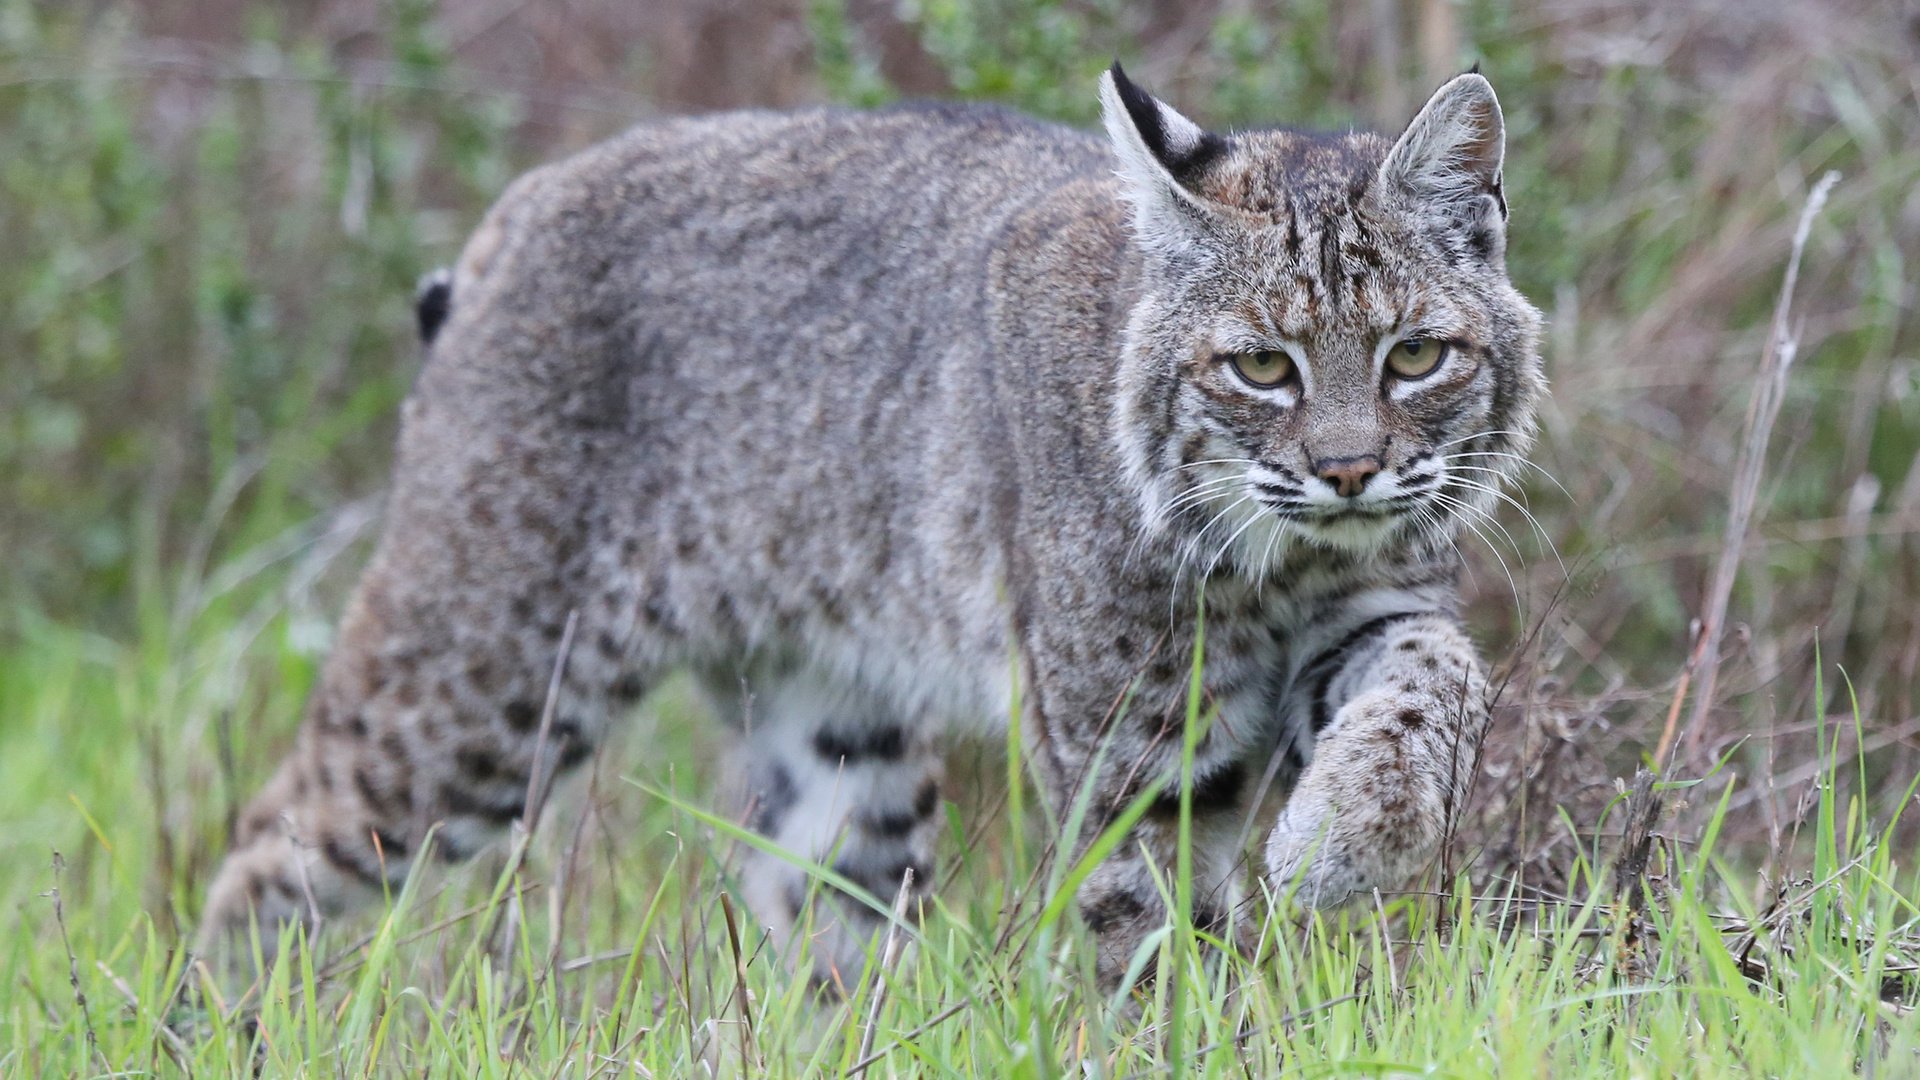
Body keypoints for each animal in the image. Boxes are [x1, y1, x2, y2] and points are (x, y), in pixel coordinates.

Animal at [194, 65, 1543, 983]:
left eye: (1415, 356)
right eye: (1262, 368)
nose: (1350, 472)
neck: (1279, 558)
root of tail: (516, 206)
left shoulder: (1368, 606)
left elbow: (1443, 684)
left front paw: (1347, 840)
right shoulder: (1127, 742)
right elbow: (1151, 929)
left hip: (833, 734)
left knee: (821, 936)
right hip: (486, 680)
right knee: (266, 849)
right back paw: (228, 1028)